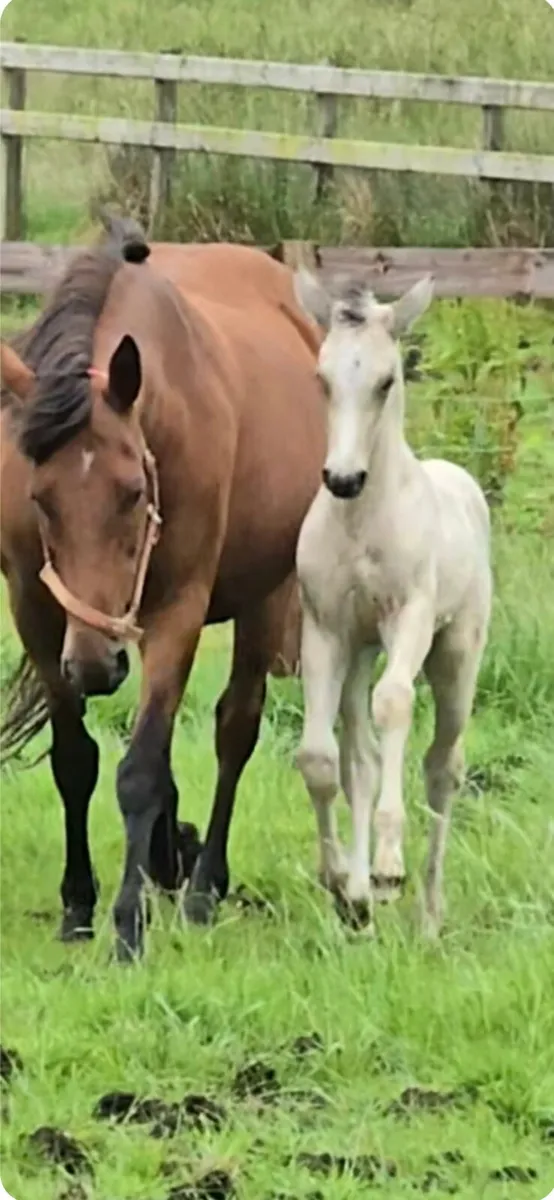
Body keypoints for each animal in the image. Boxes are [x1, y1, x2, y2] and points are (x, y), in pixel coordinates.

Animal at [0, 217, 326, 961]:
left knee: (236, 730)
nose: (95, 665)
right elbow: (75, 761)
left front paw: (127, 925)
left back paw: (202, 888)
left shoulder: (178, 608)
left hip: (265, 596)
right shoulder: (36, 612)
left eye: (132, 492)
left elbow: (141, 769)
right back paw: (168, 862)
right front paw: (78, 906)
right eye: (40, 498)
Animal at [291, 268, 492, 938]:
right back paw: (362, 898)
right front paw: (341, 884)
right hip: (360, 651)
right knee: (362, 753)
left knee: (442, 764)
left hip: (457, 654)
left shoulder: (410, 620)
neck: (361, 522)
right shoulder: (326, 630)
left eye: (386, 381)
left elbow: (396, 705)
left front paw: (385, 869)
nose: (343, 478)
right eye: (322, 378)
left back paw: (427, 912)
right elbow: (322, 758)